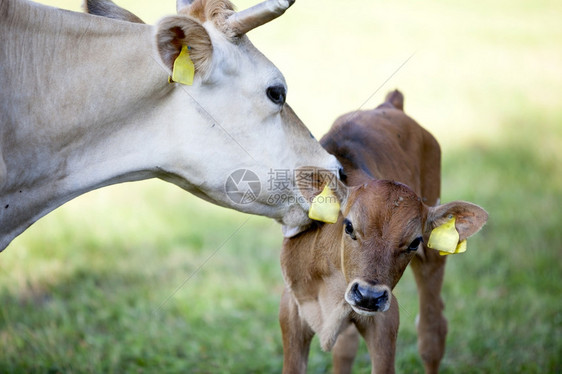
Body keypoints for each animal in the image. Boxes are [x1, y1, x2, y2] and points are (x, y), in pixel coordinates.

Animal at [280, 91, 486, 374]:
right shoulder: (290, 308)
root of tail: (391, 104)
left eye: (414, 242)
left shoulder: (386, 318)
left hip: (433, 260)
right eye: (349, 226)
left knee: (432, 332)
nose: (369, 296)